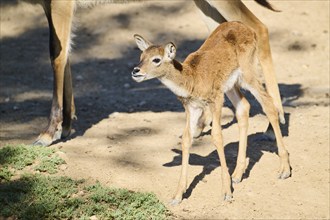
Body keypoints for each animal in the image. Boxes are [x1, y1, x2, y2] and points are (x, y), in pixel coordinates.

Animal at [131, 21, 292, 204]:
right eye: (141, 56)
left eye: (156, 59)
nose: (136, 71)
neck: (193, 78)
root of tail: (248, 28)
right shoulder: (192, 107)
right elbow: (186, 138)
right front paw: (177, 196)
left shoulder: (216, 100)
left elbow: (217, 136)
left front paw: (226, 193)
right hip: (232, 85)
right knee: (244, 107)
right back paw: (237, 174)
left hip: (248, 74)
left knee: (268, 105)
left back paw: (284, 171)